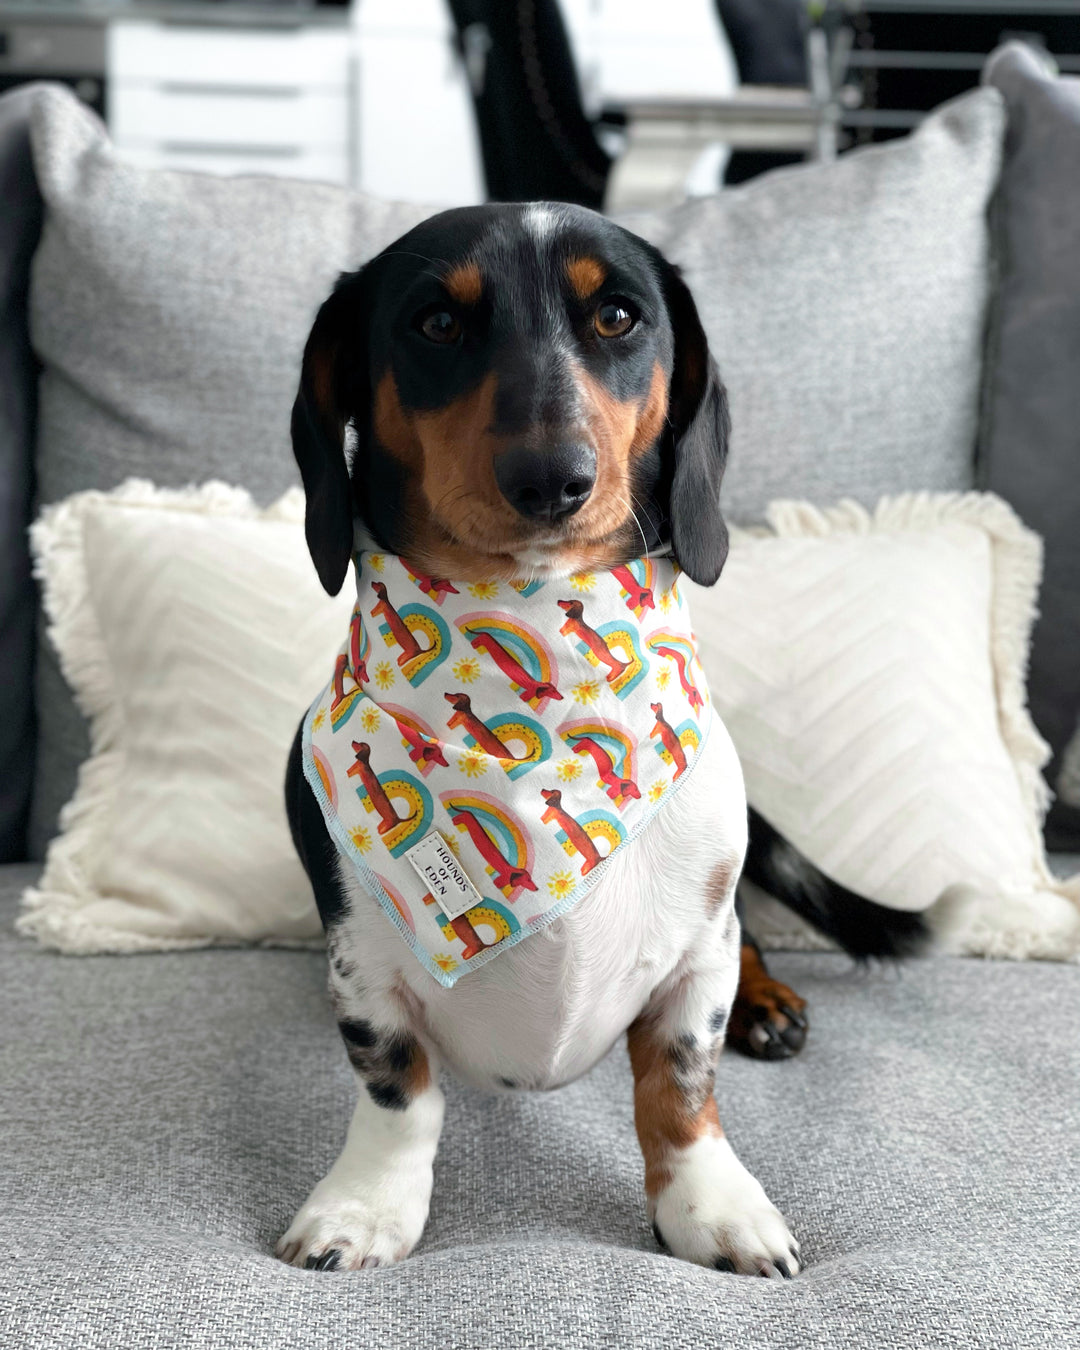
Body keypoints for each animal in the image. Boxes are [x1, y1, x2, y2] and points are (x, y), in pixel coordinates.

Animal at [278, 202, 925, 1277]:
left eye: (618, 316)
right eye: (436, 324)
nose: (553, 479)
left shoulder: (697, 955)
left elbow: (681, 1084)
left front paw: (712, 1206)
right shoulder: (361, 960)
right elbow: (398, 1090)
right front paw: (365, 1207)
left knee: (749, 941)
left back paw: (771, 1003)